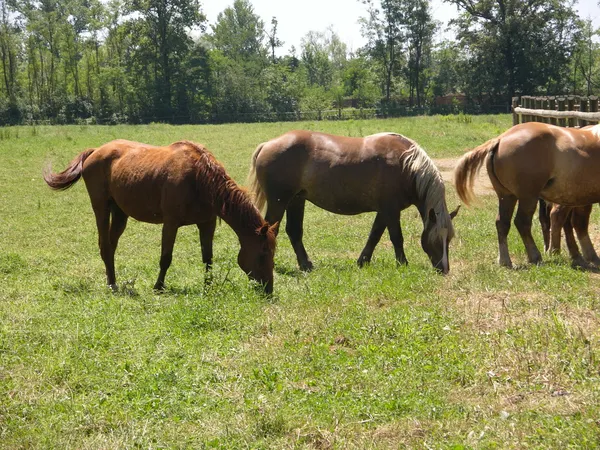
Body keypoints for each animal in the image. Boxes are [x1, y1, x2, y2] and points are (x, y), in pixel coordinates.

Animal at [45, 141, 278, 296]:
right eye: (262, 254)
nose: (268, 289)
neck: (199, 179)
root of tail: (95, 151)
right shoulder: (171, 223)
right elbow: (166, 257)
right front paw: (158, 286)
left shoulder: (207, 223)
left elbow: (208, 257)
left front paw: (208, 286)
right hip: (101, 208)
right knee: (104, 245)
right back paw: (112, 284)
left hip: (120, 214)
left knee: (110, 247)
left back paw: (113, 280)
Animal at [246, 128, 458, 272]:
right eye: (436, 238)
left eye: (449, 238)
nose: (444, 269)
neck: (407, 165)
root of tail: (267, 144)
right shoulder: (391, 210)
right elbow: (396, 237)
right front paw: (403, 263)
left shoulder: (384, 211)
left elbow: (374, 235)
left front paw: (363, 261)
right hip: (279, 201)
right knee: (271, 229)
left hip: (296, 200)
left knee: (294, 231)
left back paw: (306, 265)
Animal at [454, 122, 600, 268]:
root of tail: (500, 139)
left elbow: (579, 223)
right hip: (528, 197)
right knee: (522, 222)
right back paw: (535, 256)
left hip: (507, 196)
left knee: (502, 223)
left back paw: (504, 260)